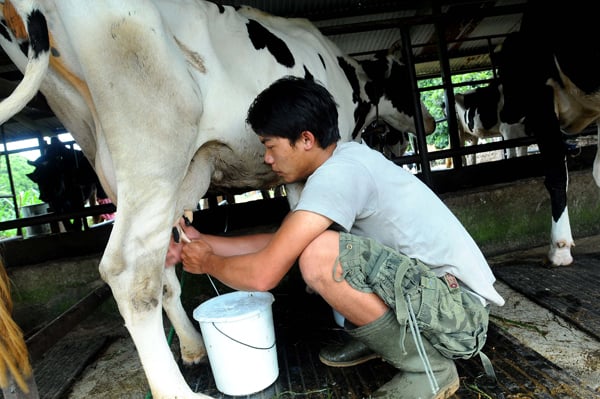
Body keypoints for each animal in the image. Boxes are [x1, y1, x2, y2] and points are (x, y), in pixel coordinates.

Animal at [0, 1, 434, 398]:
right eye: (404, 80)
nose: (430, 122)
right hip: (156, 137)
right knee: (130, 271)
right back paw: (177, 391)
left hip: (103, 151)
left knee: (159, 268)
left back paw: (193, 347)